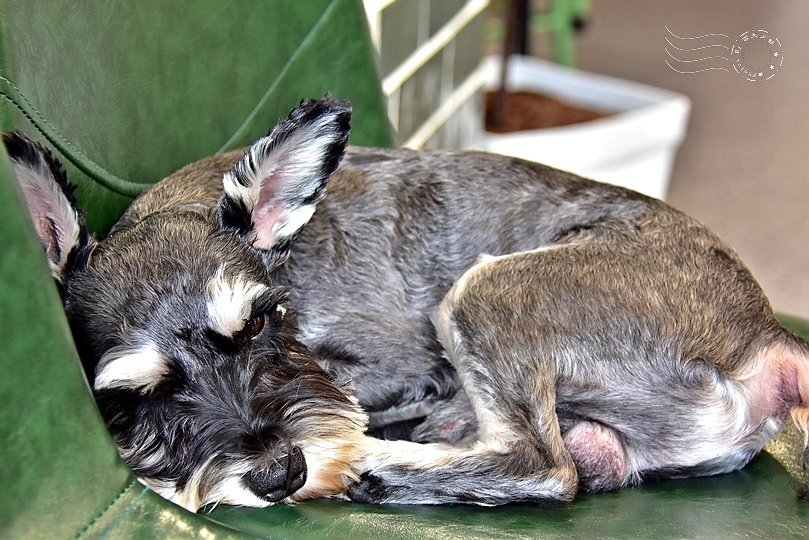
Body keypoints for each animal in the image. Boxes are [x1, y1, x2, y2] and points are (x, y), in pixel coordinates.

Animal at [6, 96, 808, 510]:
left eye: (264, 320)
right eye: (134, 395)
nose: (280, 474)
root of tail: (769, 340)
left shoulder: (401, 363)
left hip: (488, 294)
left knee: (543, 466)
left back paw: (379, 465)